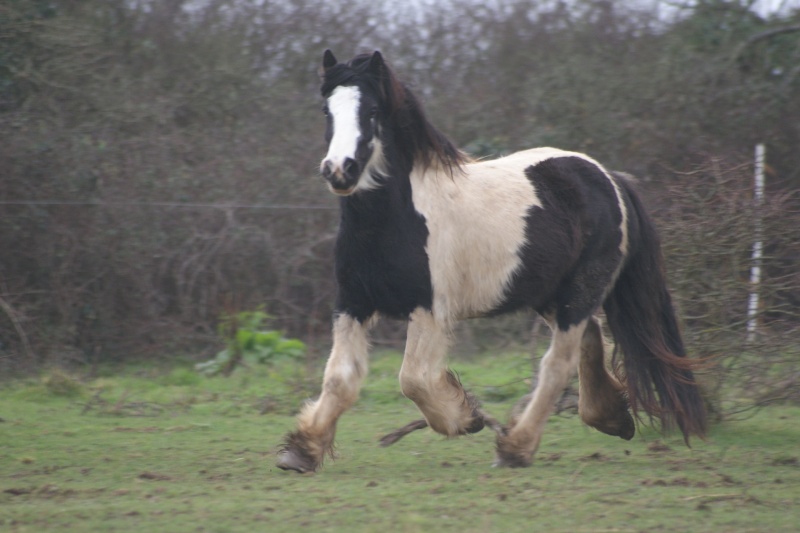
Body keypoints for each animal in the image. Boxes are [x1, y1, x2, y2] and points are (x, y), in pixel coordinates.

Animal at [276, 52, 708, 472]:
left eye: (372, 110)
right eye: (326, 110)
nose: (339, 170)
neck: (394, 221)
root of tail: (609, 178)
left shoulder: (429, 310)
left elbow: (413, 379)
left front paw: (466, 417)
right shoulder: (352, 305)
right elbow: (340, 379)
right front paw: (301, 451)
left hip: (580, 291)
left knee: (558, 363)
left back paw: (517, 447)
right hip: (550, 295)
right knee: (590, 337)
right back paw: (611, 417)